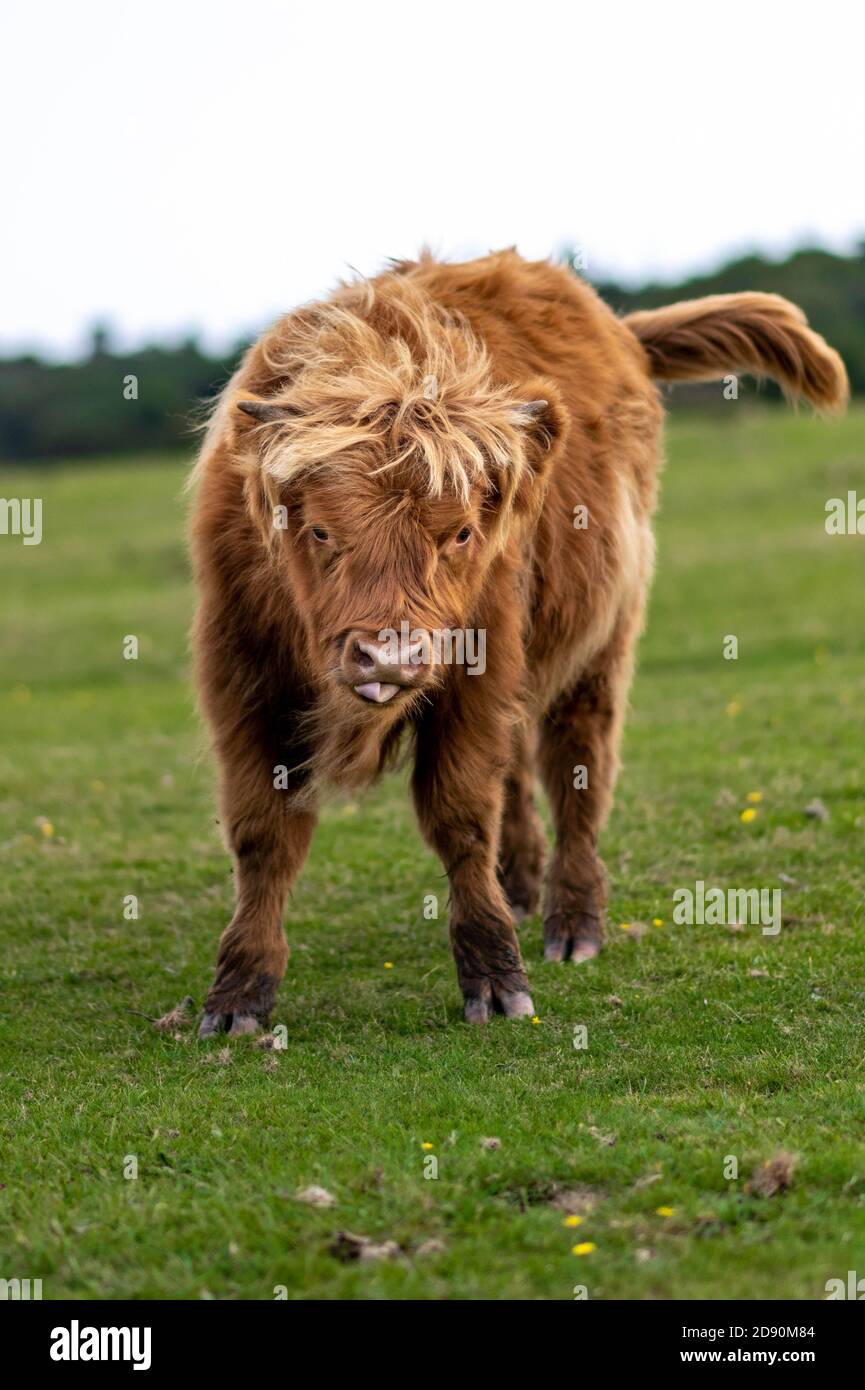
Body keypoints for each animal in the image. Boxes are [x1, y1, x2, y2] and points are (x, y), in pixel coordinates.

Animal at [189, 249, 847, 1035]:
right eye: (319, 529)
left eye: (461, 533)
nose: (391, 659)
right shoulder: (241, 676)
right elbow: (263, 831)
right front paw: (237, 995)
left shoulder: (479, 664)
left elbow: (460, 815)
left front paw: (495, 978)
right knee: (517, 768)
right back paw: (524, 885)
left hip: (599, 644)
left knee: (577, 767)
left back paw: (573, 923)